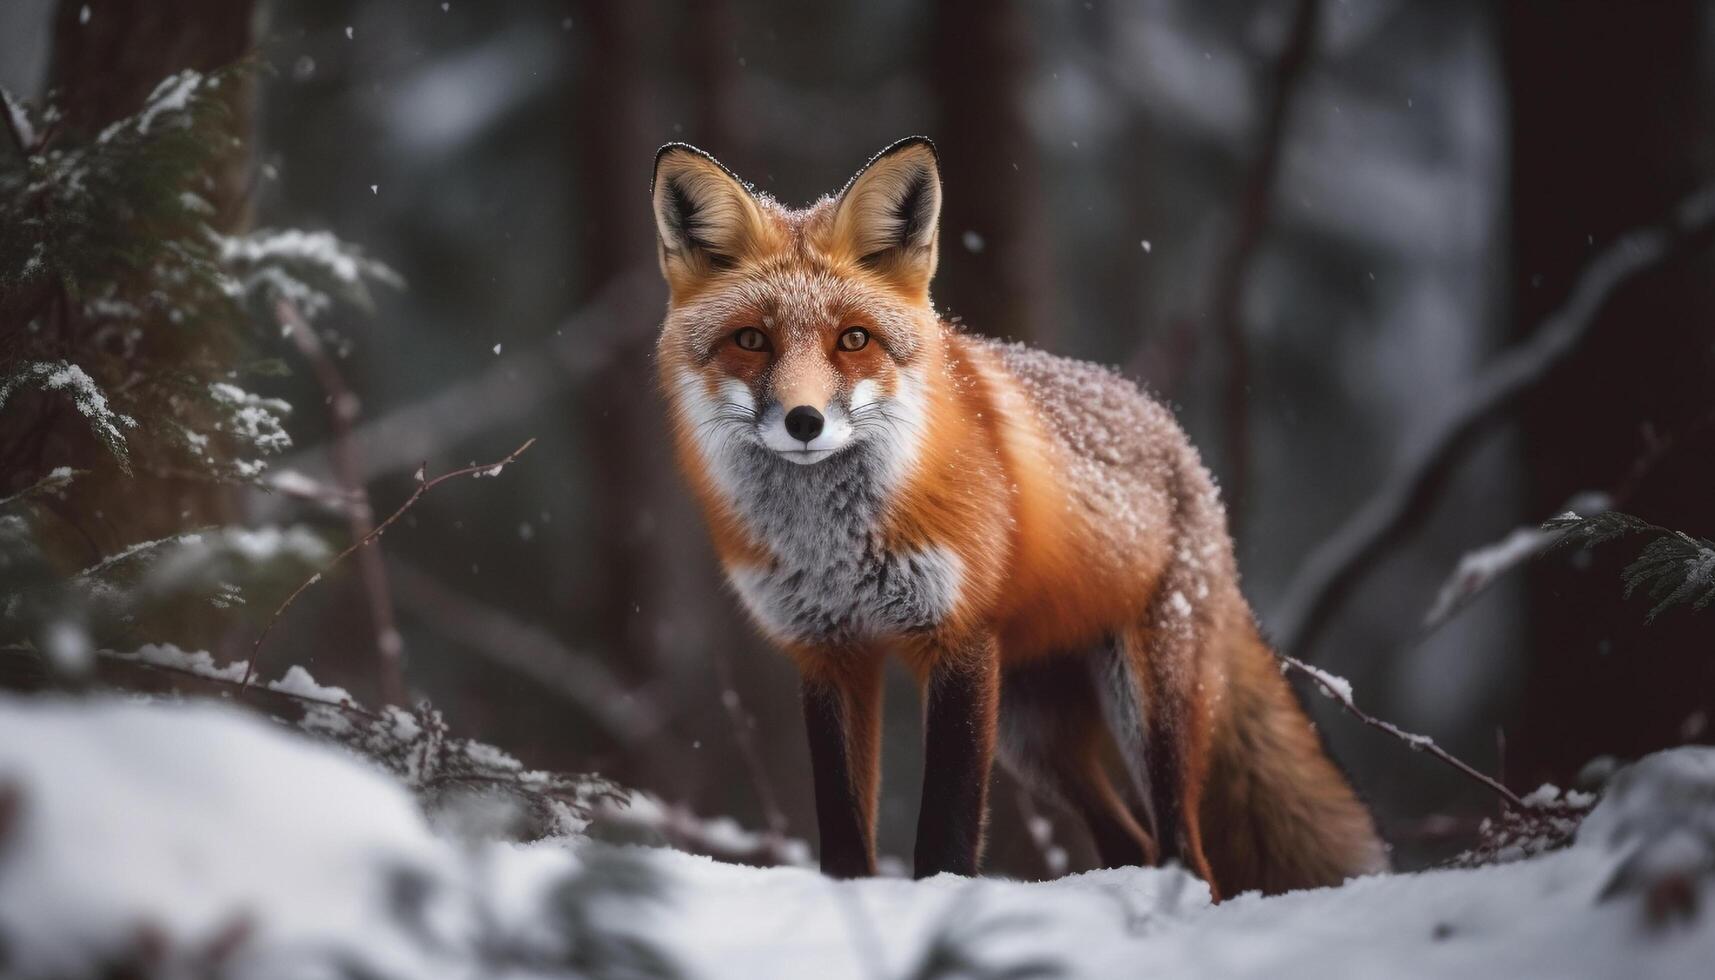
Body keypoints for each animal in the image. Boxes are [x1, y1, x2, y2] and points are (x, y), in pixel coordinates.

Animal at [648, 136, 1385, 899]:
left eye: (853, 340)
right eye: (751, 340)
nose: (804, 421)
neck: (833, 548)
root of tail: (1180, 444)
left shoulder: (958, 640)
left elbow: (946, 827)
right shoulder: (828, 651)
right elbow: (844, 829)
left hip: (1144, 705)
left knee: (1187, 851)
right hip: (1032, 735)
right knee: (1130, 840)